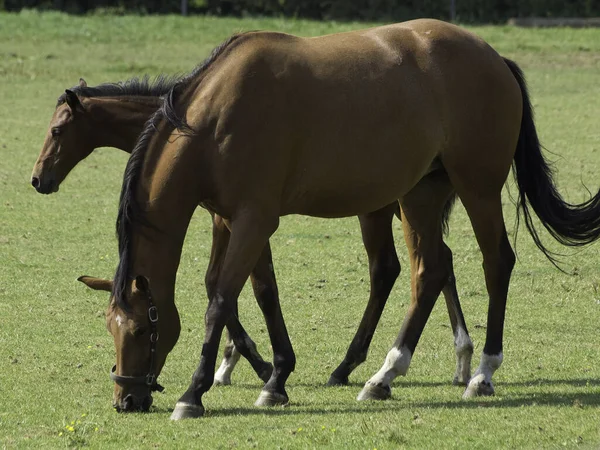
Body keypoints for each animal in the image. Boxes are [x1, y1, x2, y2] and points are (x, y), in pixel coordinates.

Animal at [31, 75, 474, 406]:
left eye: (57, 130)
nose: (38, 179)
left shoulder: (233, 219)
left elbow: (233, 285)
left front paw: (257, 367)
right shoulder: (227, 220)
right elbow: (231, 284)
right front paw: (240, 363)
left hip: (390, 207)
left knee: (400, 269)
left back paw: (367, 366)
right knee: (440, 262)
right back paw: (461, 361)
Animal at [76, 17, 600, 418]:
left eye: (140, 329)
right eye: (110, 328)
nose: (126, 399)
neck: (216, 118)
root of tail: (494, 58)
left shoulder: (252, 220)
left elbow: (221, 301)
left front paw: (196, 392)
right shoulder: (235, 220)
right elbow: (259, 293)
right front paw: (274, 379)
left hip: (478, 189)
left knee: (496, 263)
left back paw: (483, 372)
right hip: (421, 195)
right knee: (429, 272)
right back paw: (384, 374)